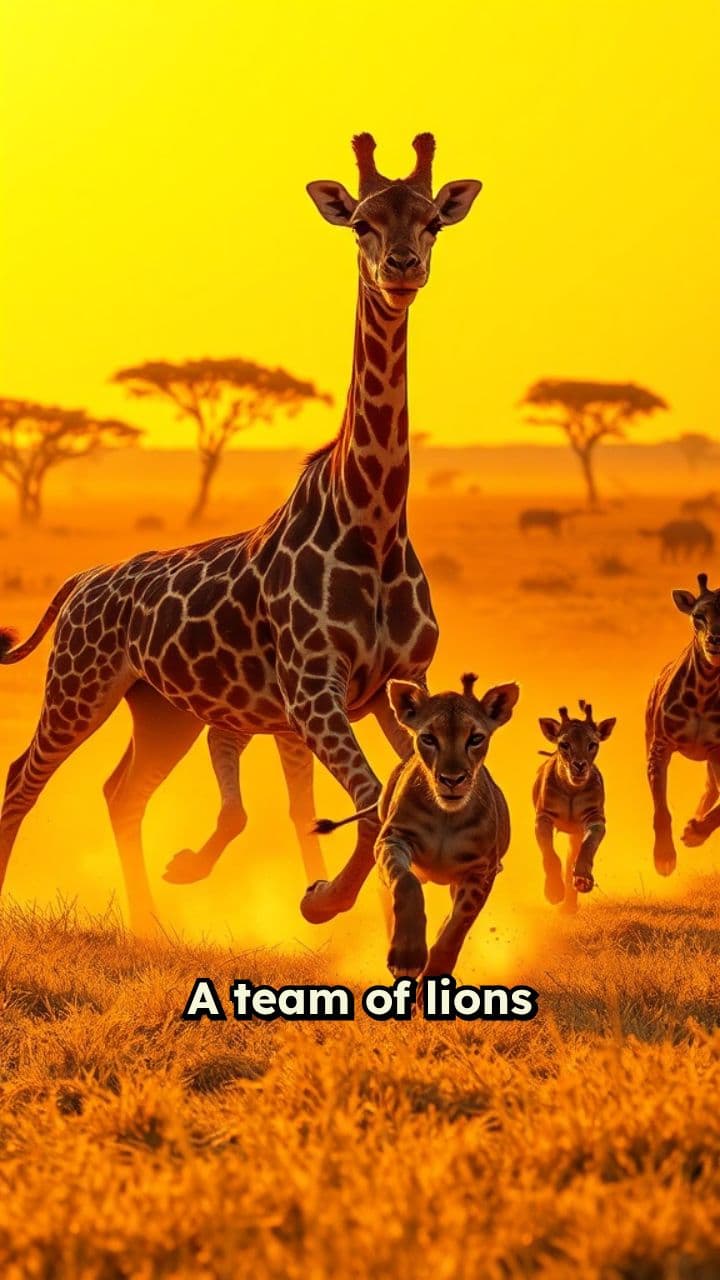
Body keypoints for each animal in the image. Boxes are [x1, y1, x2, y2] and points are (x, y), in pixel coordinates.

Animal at [0, 133, 482, 931]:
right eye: (362, 224)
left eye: (433, 222)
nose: (401, 268)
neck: (373, 522)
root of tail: (82, 582)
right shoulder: (313, 688)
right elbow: (370, 793)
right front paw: (325, 901)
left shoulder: (402, 681)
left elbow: (391, 788)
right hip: (79, 686)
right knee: (22, 778)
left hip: (162, 711)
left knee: (120, 792)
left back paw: (153, 925)